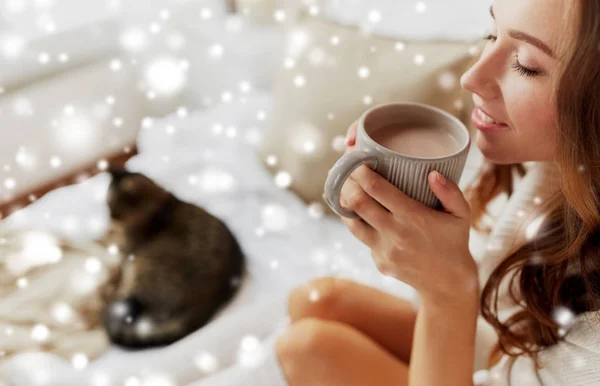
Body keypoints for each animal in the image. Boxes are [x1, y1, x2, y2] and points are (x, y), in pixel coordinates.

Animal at [102, 167, 245, 348]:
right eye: (108, 208)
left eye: (115, 212)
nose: (110, 218)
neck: (160, 205)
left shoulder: (127, 249)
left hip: (140, 269)